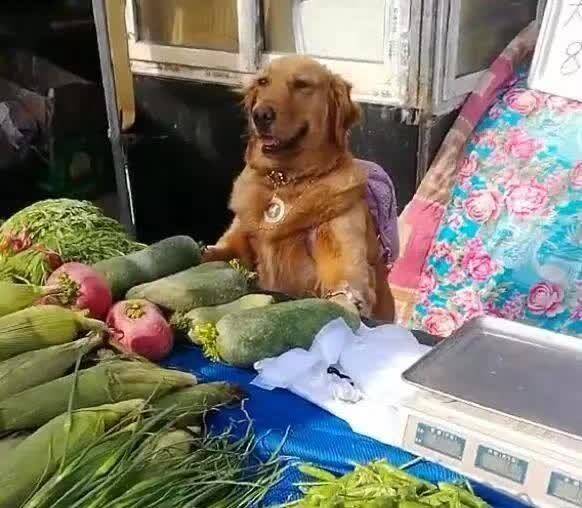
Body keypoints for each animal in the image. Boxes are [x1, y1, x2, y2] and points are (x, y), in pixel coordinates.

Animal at [205, 56, 396, 322]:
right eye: (263, 82)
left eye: (302, 85)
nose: (260, 114)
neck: (285, 180)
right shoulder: (238, 236)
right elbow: (220, 252)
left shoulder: (344, 258)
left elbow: (344, 290)